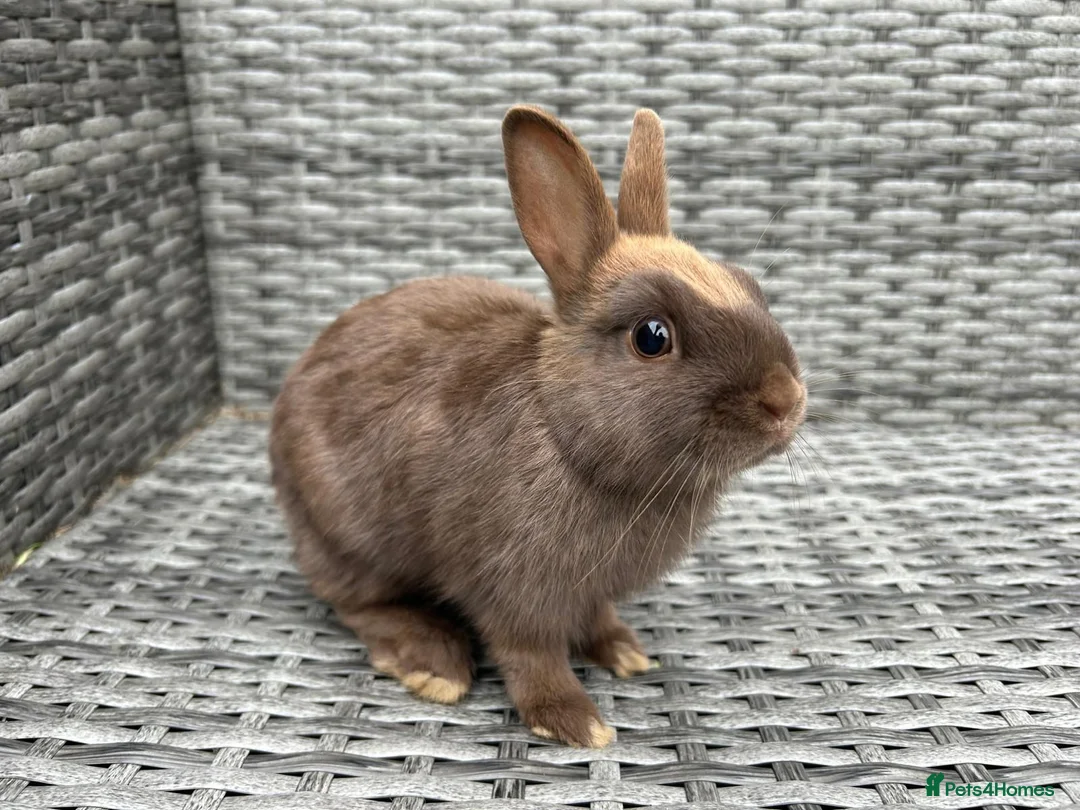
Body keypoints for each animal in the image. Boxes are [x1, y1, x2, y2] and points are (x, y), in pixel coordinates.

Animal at [268, 105, 806, 749]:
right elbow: (531, 654)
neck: (567, 437)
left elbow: (595, 618)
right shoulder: (511, 589)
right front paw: (573, 721)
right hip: (345, 535)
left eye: (750, 286)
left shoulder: (589, 590)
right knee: (357, 602)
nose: (786, 399)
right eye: (652, 336)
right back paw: (433, 664)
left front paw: (624, 652)